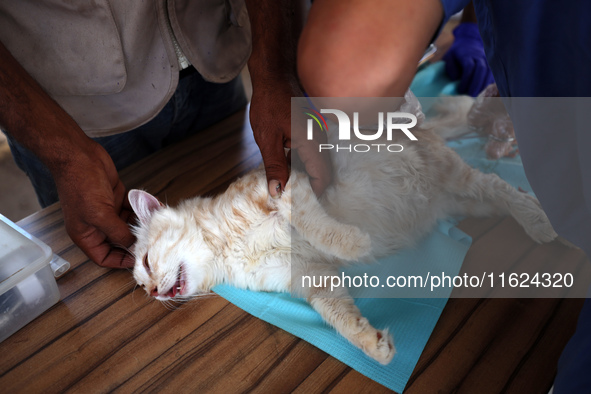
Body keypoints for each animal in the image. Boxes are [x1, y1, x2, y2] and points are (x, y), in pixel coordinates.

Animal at [130, 97, 560, 364]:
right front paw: (374, 345)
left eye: (147, 263)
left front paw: (354, 243)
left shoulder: (288, 187)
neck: (228, 250)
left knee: (502, 187)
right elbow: (339, 317)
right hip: (464, 200)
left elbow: (317, 225)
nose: (152, 294)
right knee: (501, 194)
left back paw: (542, 222)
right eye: (141, 284)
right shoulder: (310, 277)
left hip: (461, 179)